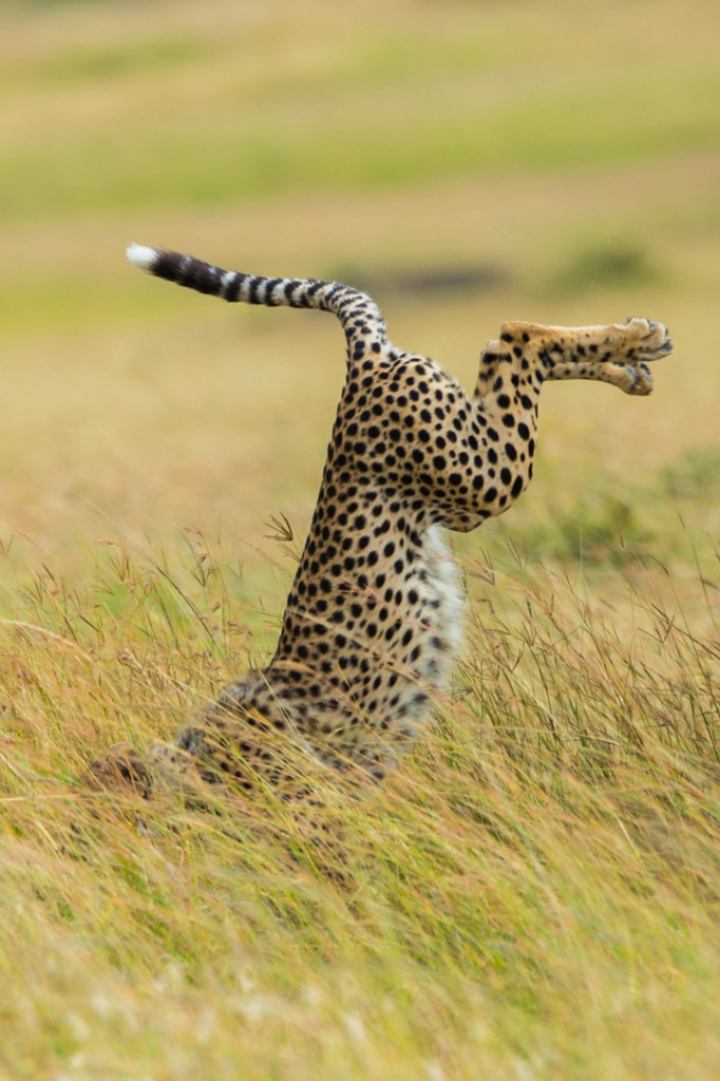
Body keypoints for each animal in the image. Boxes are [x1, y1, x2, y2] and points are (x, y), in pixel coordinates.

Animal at [87, 243, 670, 804]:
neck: (188, 754)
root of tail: (363, 365)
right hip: (465, 487)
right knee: (504, 353)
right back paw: (632, 360)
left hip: (484, 476)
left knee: (512, 337)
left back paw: (633, 340)